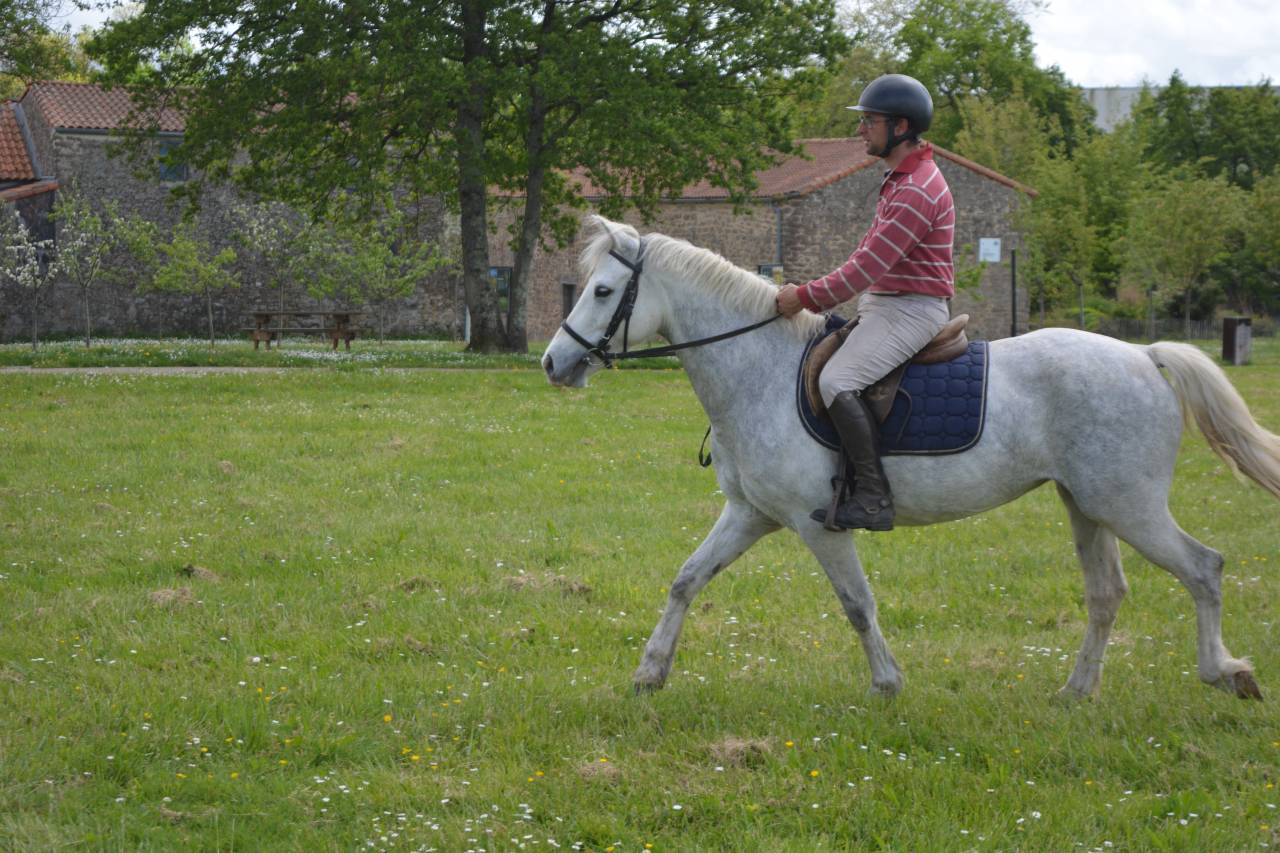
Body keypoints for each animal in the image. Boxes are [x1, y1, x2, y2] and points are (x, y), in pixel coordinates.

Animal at [541, 215, 1280, 701]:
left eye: (602, 292)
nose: (554, 363)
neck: (759, 370)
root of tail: (1144, 356)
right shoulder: (750, 514)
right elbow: (686, 580)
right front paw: (650, 672)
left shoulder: (817, 525)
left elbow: (856, 603)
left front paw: (888, 683)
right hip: (1087, 505)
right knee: (1107, 593)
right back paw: (1075, 692)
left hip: (1128, 505)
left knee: (1204, 568)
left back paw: (1225, 673)